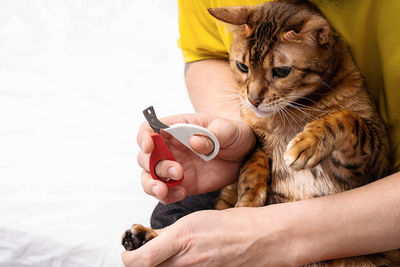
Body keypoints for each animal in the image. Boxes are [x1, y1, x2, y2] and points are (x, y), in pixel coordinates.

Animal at [122, 1, 400, 266]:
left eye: (281, 71)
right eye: (242, 66)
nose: (253, 99)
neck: (293, 112)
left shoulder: (371, 161)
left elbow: (345, 119)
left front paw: (305, 144)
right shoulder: (253, 139)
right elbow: (252, 162)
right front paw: (249, 198)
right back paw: (142, 237)